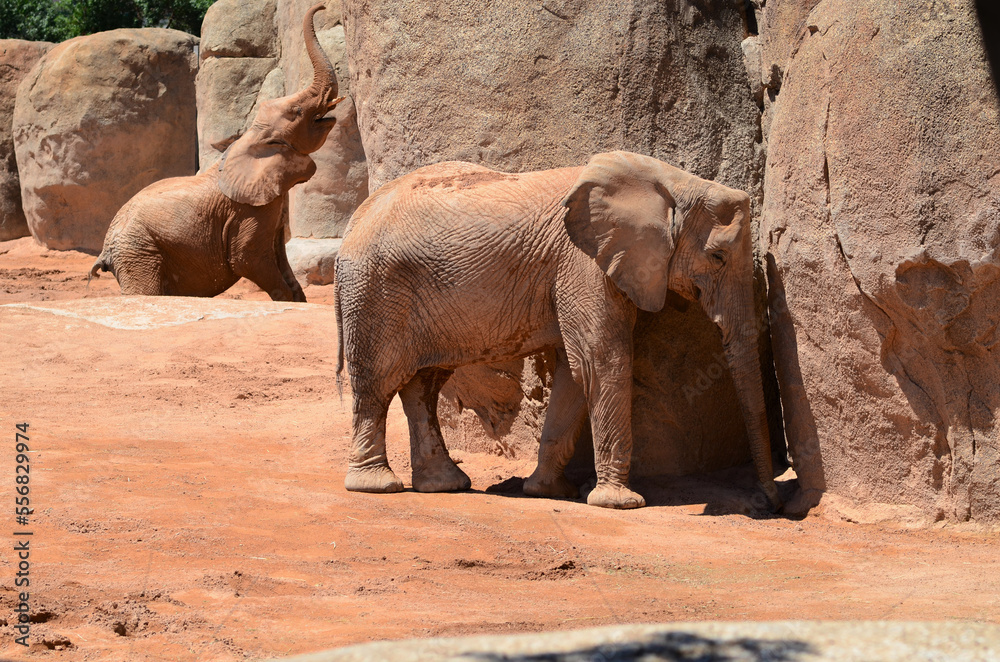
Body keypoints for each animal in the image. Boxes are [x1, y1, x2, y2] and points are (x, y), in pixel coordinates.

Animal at [88, 2, 344, 302]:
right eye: (297, 111)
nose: (322, 6)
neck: (252, 138)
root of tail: (105, 248)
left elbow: (280, 257)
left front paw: (299, 300)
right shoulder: (249, 210)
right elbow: (248, 259)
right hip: (137, 251)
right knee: (145, 291)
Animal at [336, 152, 780, 512]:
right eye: (717, 257)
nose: (769, 502)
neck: (671, 182)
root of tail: (355, 219)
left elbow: (575, 371)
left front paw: (548, 492)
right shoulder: (584, 263)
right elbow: (603, 360)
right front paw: (621, 503)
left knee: (422, 384)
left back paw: (445, 485)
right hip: (374, 291)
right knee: (378, 382)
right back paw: (377, 486)